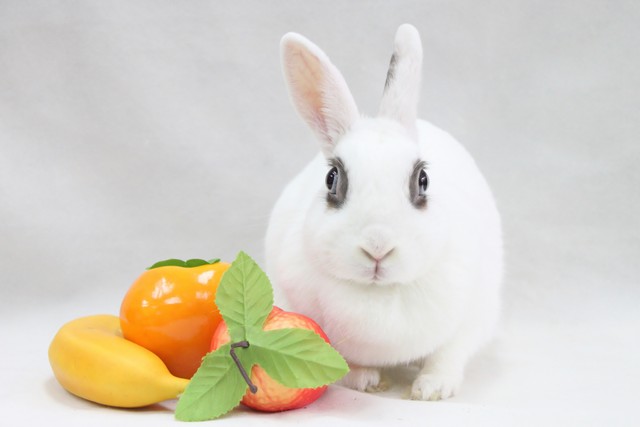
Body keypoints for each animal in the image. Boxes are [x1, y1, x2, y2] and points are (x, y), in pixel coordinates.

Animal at [265, 24, 502, 401]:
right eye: (332, 179)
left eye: (423, 180)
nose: (378, 246)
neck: (379, 294)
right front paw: (367, 381)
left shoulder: (471, 317)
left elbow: (448, 355)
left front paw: (432, 389)